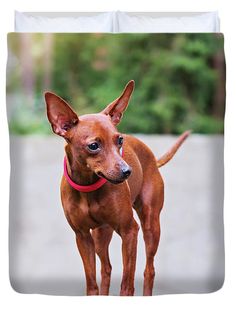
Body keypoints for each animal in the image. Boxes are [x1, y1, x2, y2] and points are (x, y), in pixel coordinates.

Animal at [45, 80, 190, 294]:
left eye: (120, 140)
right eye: (94, 145)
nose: (127, 171)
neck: (88, 187)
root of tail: (153, 158)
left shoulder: (130, 231)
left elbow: (127, 284)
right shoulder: (82, 236)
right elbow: (92, 284)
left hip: (150, 225)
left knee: (149, 270)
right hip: (100, 235)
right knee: (106, 269)